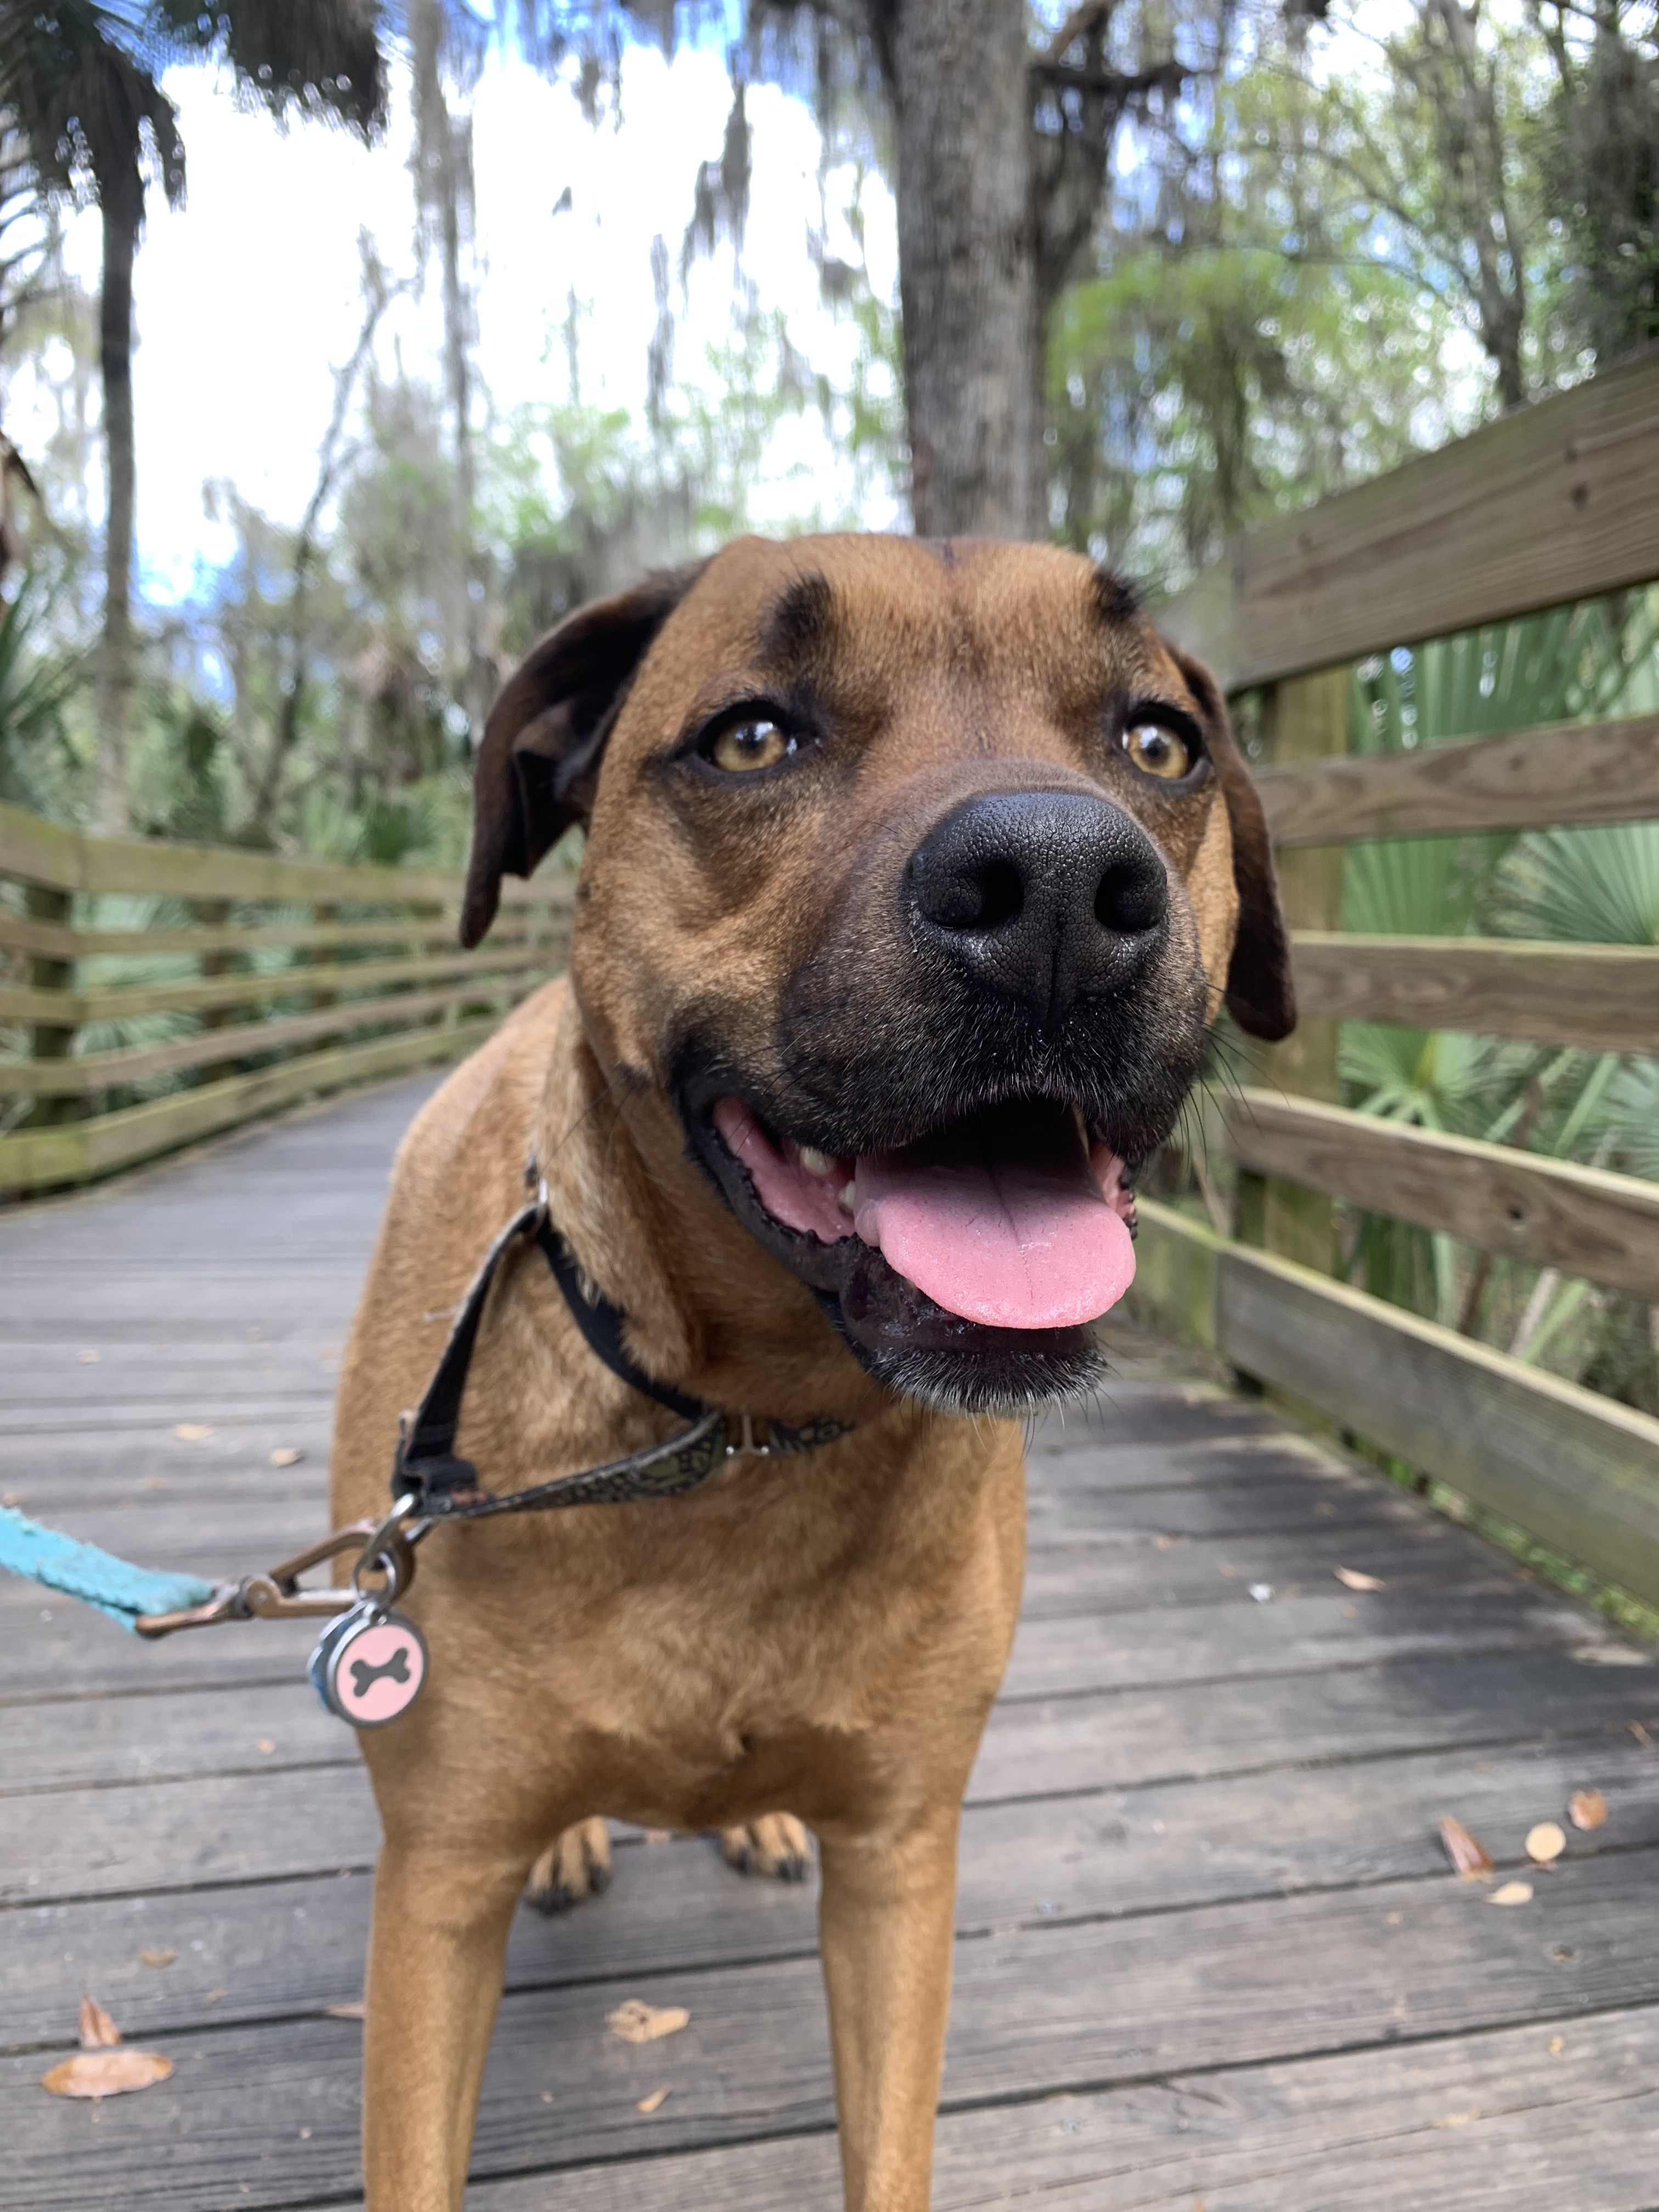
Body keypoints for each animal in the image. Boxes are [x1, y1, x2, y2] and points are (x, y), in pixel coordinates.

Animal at [329, 532, 1292, 2210]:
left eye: (1159, 743)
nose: (1058, 888)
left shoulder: (901, 1868)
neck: (744, 1429)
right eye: (754, 737)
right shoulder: (437, 1898)